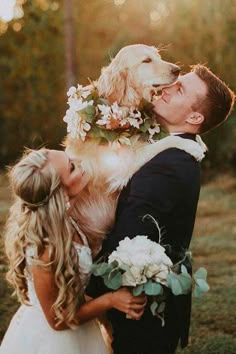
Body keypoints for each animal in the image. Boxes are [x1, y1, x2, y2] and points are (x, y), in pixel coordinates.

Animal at [65, 44, 206, 254]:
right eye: (146, 61)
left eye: (158, 56)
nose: (177, 70)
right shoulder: (122, 163)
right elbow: (164, 142)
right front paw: (191, 145)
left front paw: (198, 139)